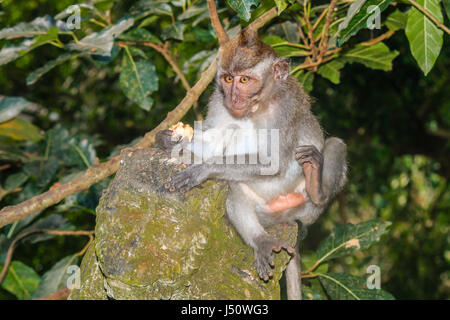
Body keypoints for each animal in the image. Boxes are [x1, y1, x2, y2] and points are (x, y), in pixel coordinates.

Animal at [156, 28, 348, 298]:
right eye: (228, 79)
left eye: (245, 80)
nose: (233, 96)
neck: (256, 107)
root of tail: (285, 214)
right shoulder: (219, 102)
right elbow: (214, 145)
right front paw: (169, 141)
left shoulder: (285, 108)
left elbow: (274, 162)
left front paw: (203, 169)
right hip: (264, 212)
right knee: (233, 183)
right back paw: (261, 240)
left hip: (308, 210)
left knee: (335, 145)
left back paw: (315, 185)